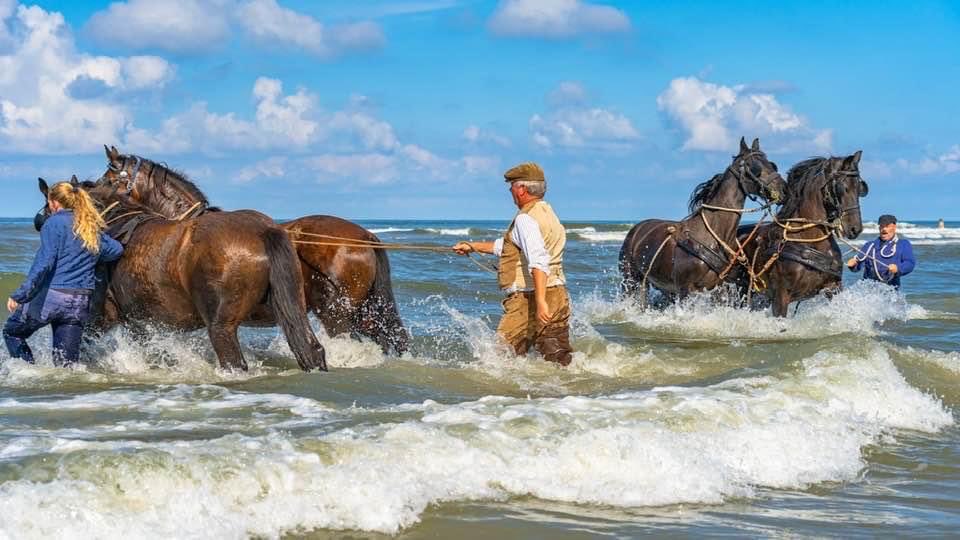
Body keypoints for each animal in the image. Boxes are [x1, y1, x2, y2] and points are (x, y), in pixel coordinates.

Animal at [34, 177, 328, 372]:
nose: (39, 222)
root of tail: (263, 230)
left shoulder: (102, 317)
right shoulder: (141, 324)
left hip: (221, 328)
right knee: (311, 350)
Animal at [618, 137, 787, 307]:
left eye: (772, 164)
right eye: (755, 167)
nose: (784, 189)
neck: (712, 236)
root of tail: (636, 229)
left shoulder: (718, 288)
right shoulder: (685, 289)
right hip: (631, 279)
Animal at [729, 151, 868, 317]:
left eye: (860, 188)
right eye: (842, 188)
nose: (855, 228)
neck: (809, 240)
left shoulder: (834, 287)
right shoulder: (780, 296)